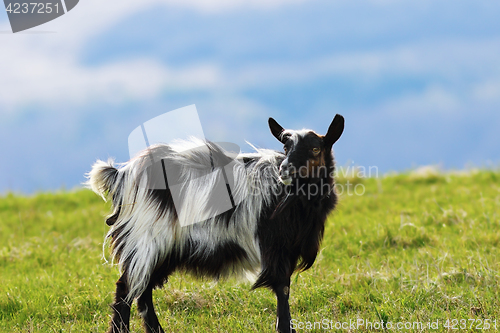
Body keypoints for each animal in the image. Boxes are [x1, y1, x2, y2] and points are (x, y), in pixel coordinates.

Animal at [87, 114, 344, 332]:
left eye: (315, 148)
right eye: (285, 147)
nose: (285, 171)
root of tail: (122, 175)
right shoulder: (275, 247)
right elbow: (283, 289)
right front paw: (284, 328)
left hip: (164, 249)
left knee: (143, 289)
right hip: (146, 239)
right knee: (127, 287)